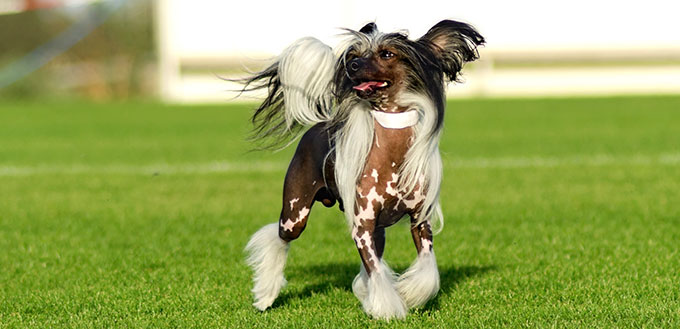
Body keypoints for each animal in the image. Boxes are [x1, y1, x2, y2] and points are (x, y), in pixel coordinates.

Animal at [239, 19, 484, 318]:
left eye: (387, 54)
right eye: (355, 55)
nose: (352, 66)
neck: (392, 156)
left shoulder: (419, 221)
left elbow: (427, 268)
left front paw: (407, 294)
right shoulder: (363, 226)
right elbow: (376, 270)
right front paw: (387, 309)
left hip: (378, 230)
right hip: (295, 213)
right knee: (279, 238)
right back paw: (266, 294)